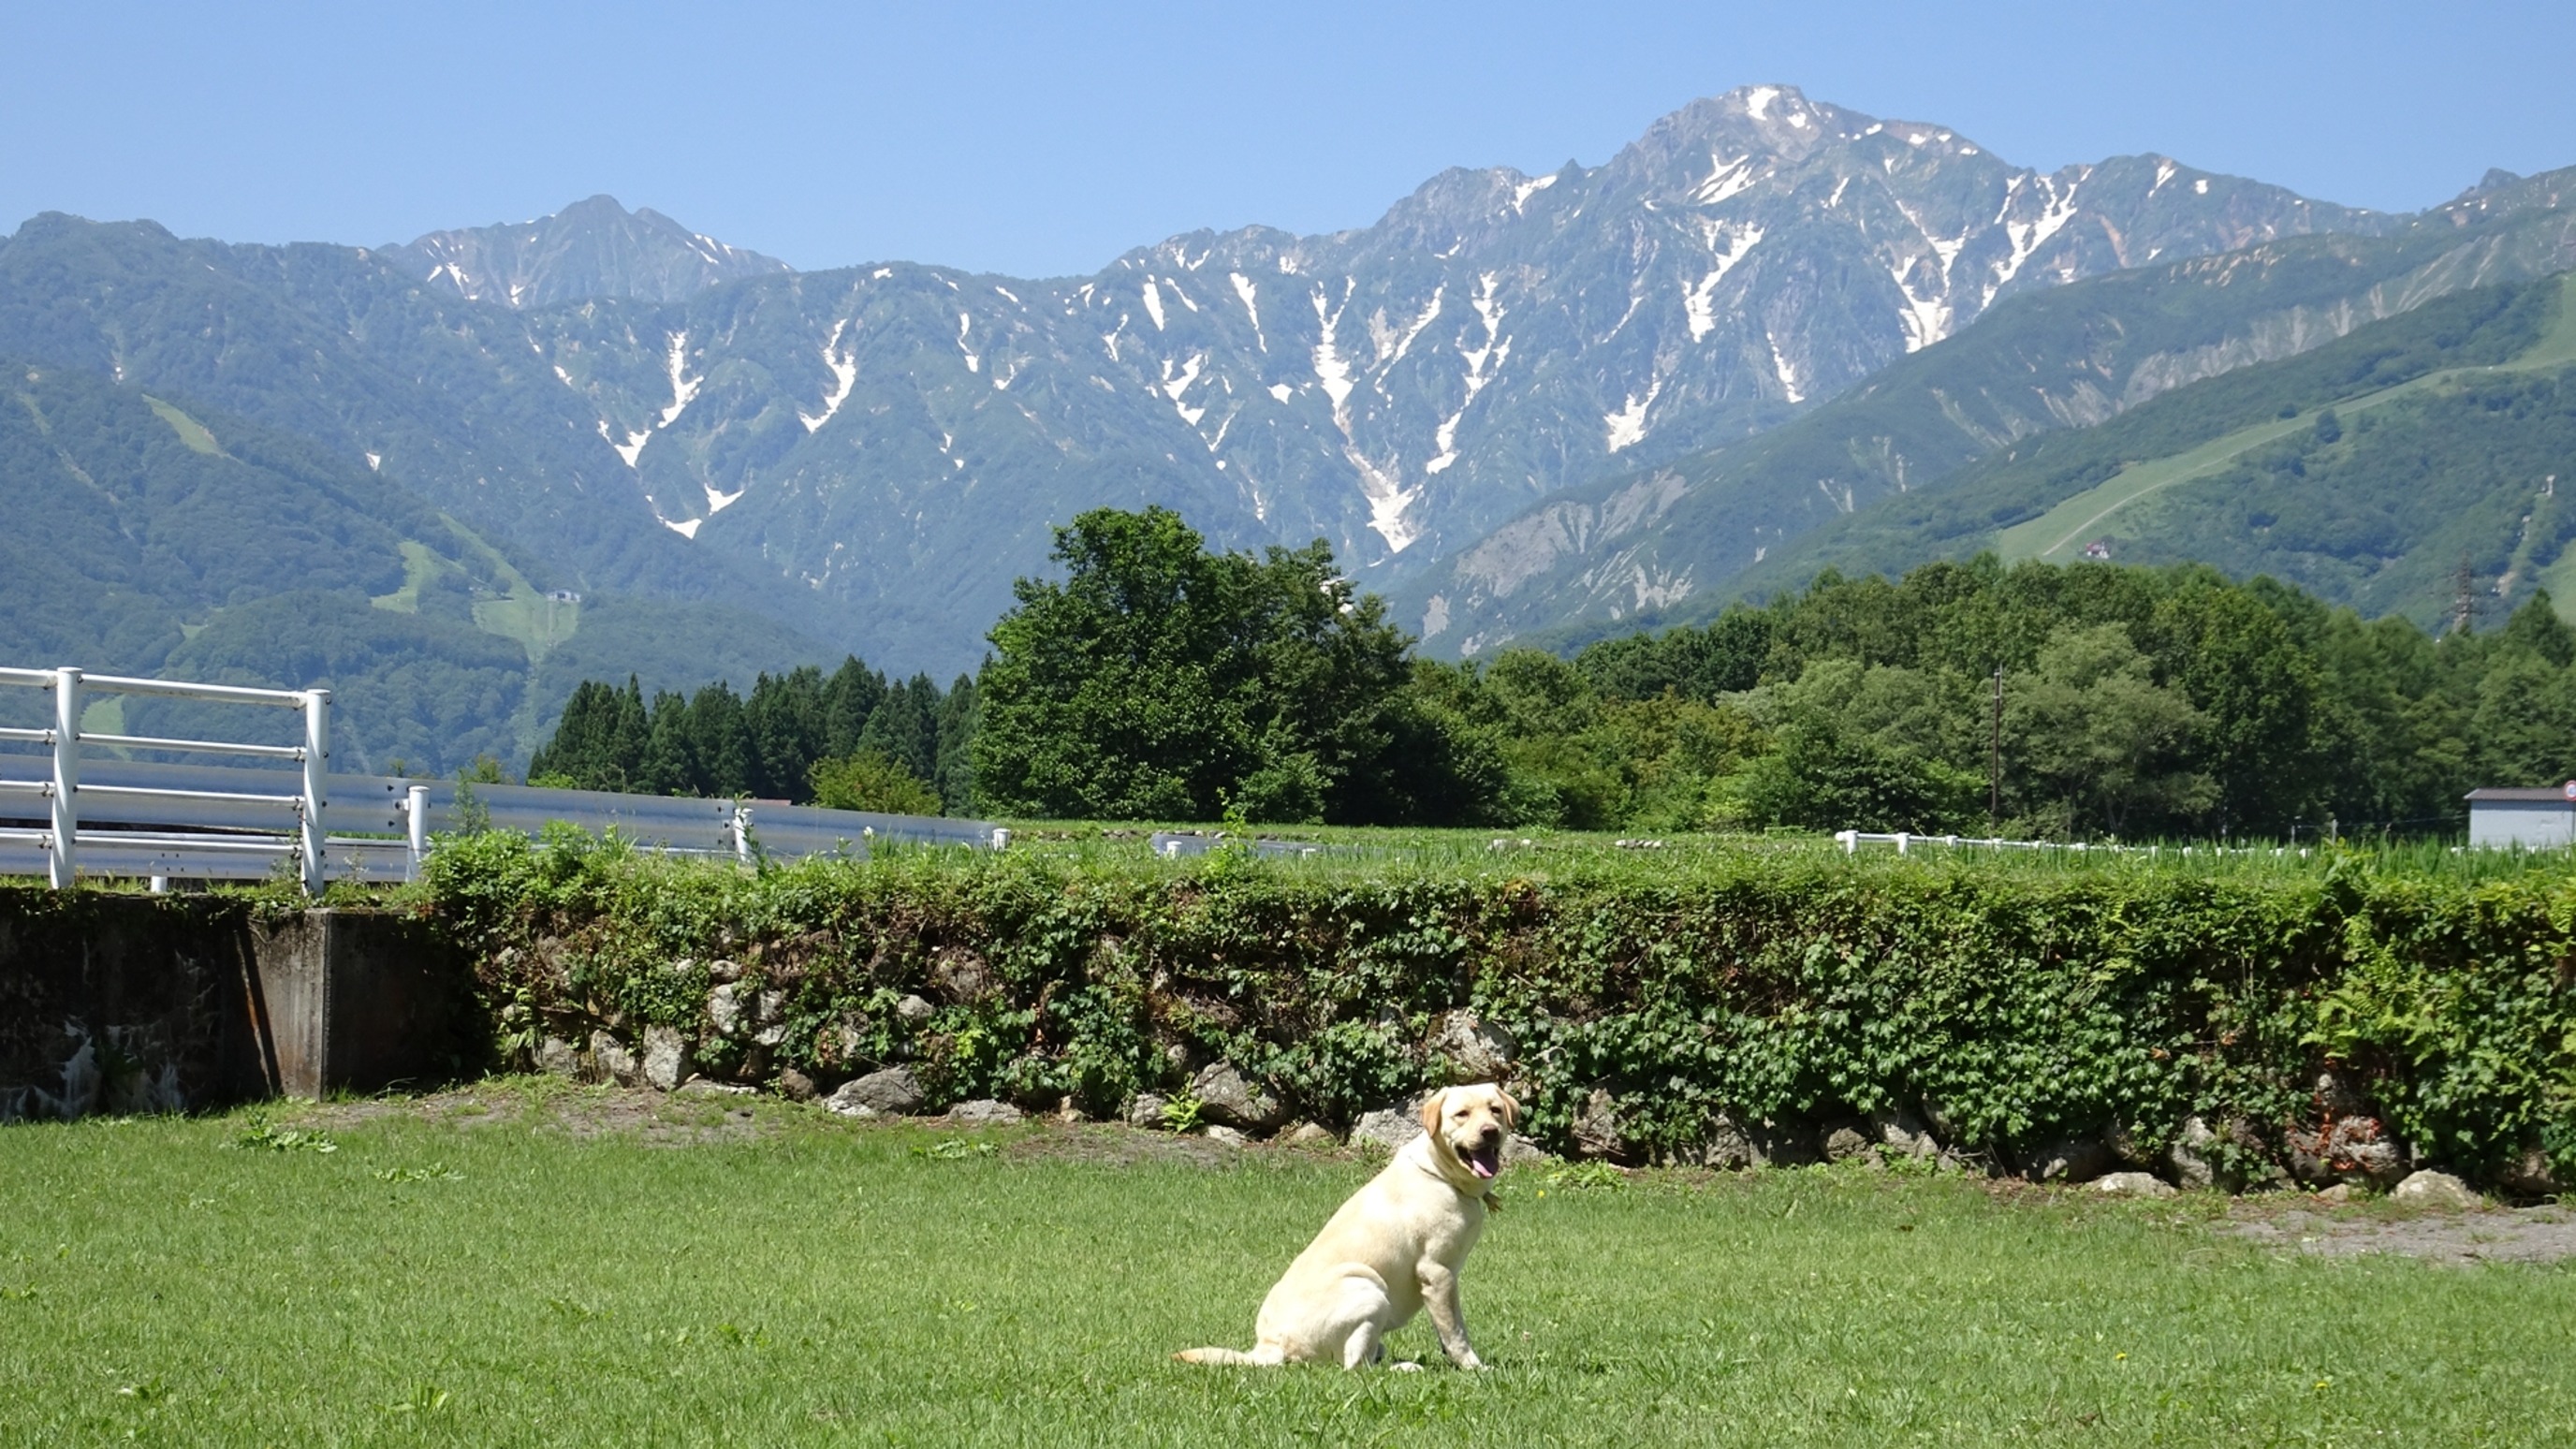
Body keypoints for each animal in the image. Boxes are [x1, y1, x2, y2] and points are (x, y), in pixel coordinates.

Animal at [1174, 1082, 1504, 1361]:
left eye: (1495, 1109)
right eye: (1461, 1114)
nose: (1490, 1131)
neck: (1440, 1173)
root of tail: (1269, 1345)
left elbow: (1444, 1330)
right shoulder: (1437, 1273)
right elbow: (1455, 1332)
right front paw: (1474, 1368)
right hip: (1369, 1288)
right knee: (1355, 1366)